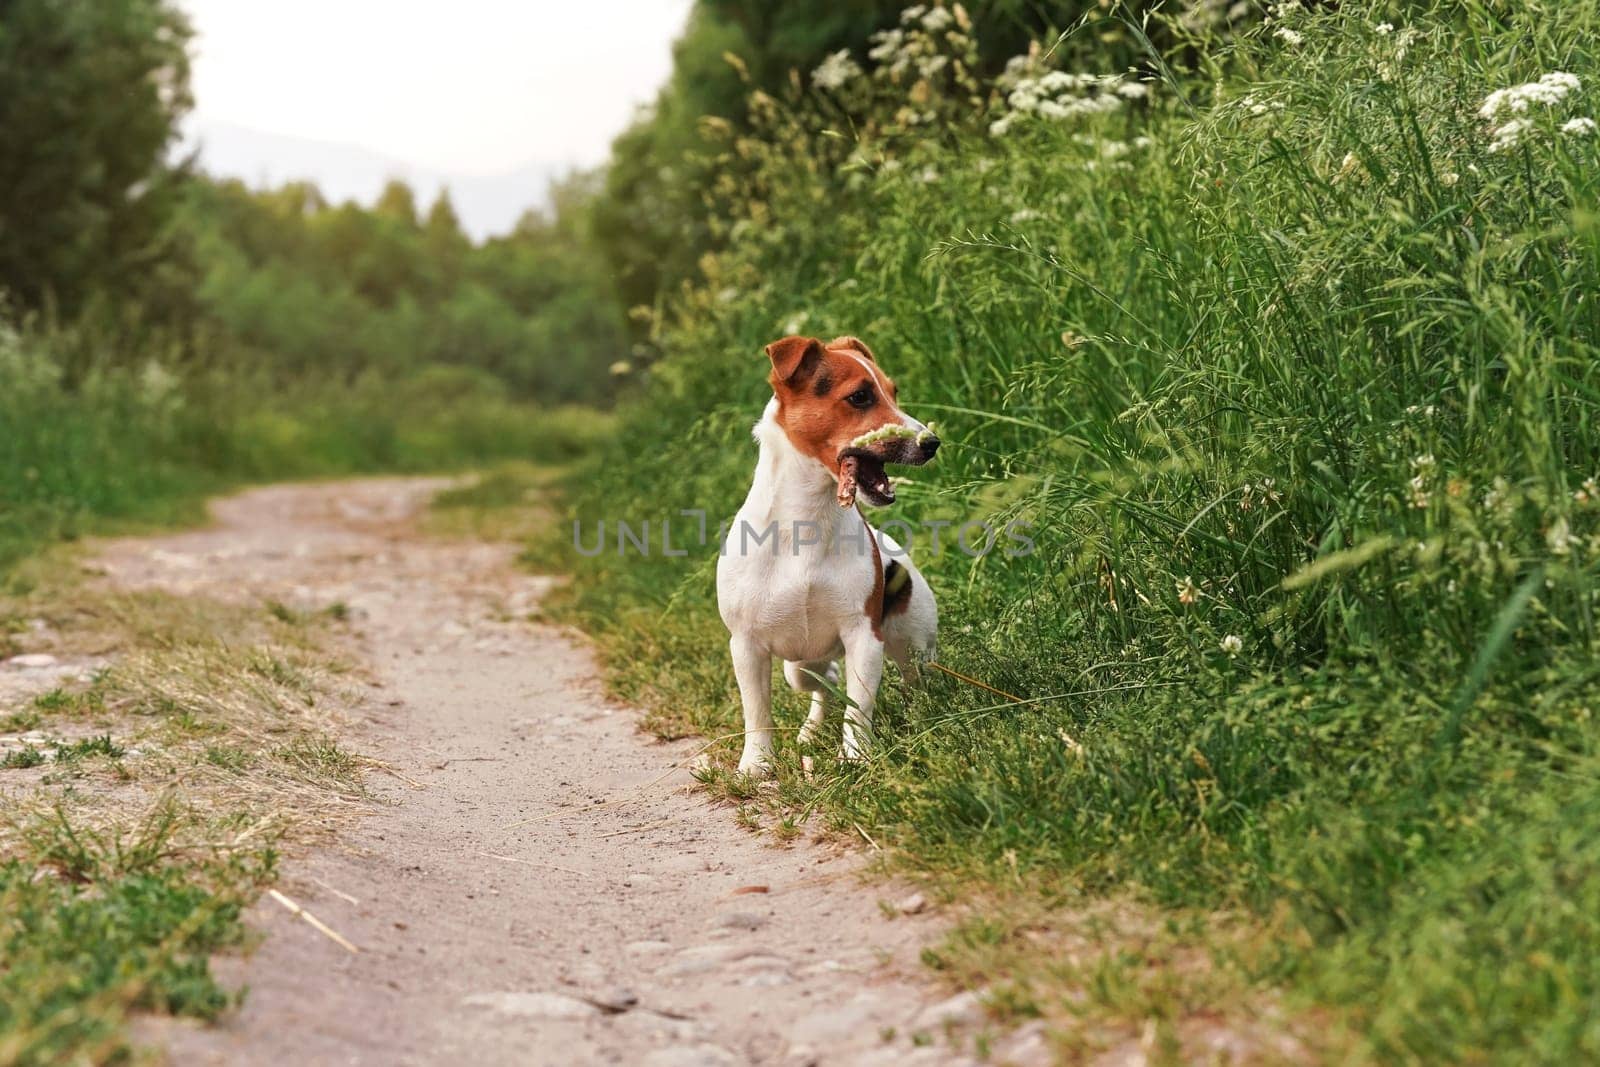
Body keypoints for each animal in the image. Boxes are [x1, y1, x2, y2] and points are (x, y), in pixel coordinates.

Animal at [716, 334, 934, 777]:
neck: (808, 520)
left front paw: (856, 756)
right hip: (797, 666)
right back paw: (811, 731)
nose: (931, 443)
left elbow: (859, 708)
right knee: (824, 683)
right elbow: (756, 712)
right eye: (860, 396)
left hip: (912, 642)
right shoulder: (746, 645)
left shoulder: (864, 637)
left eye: (894, 392)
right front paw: (757, 765)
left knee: (910, 678)